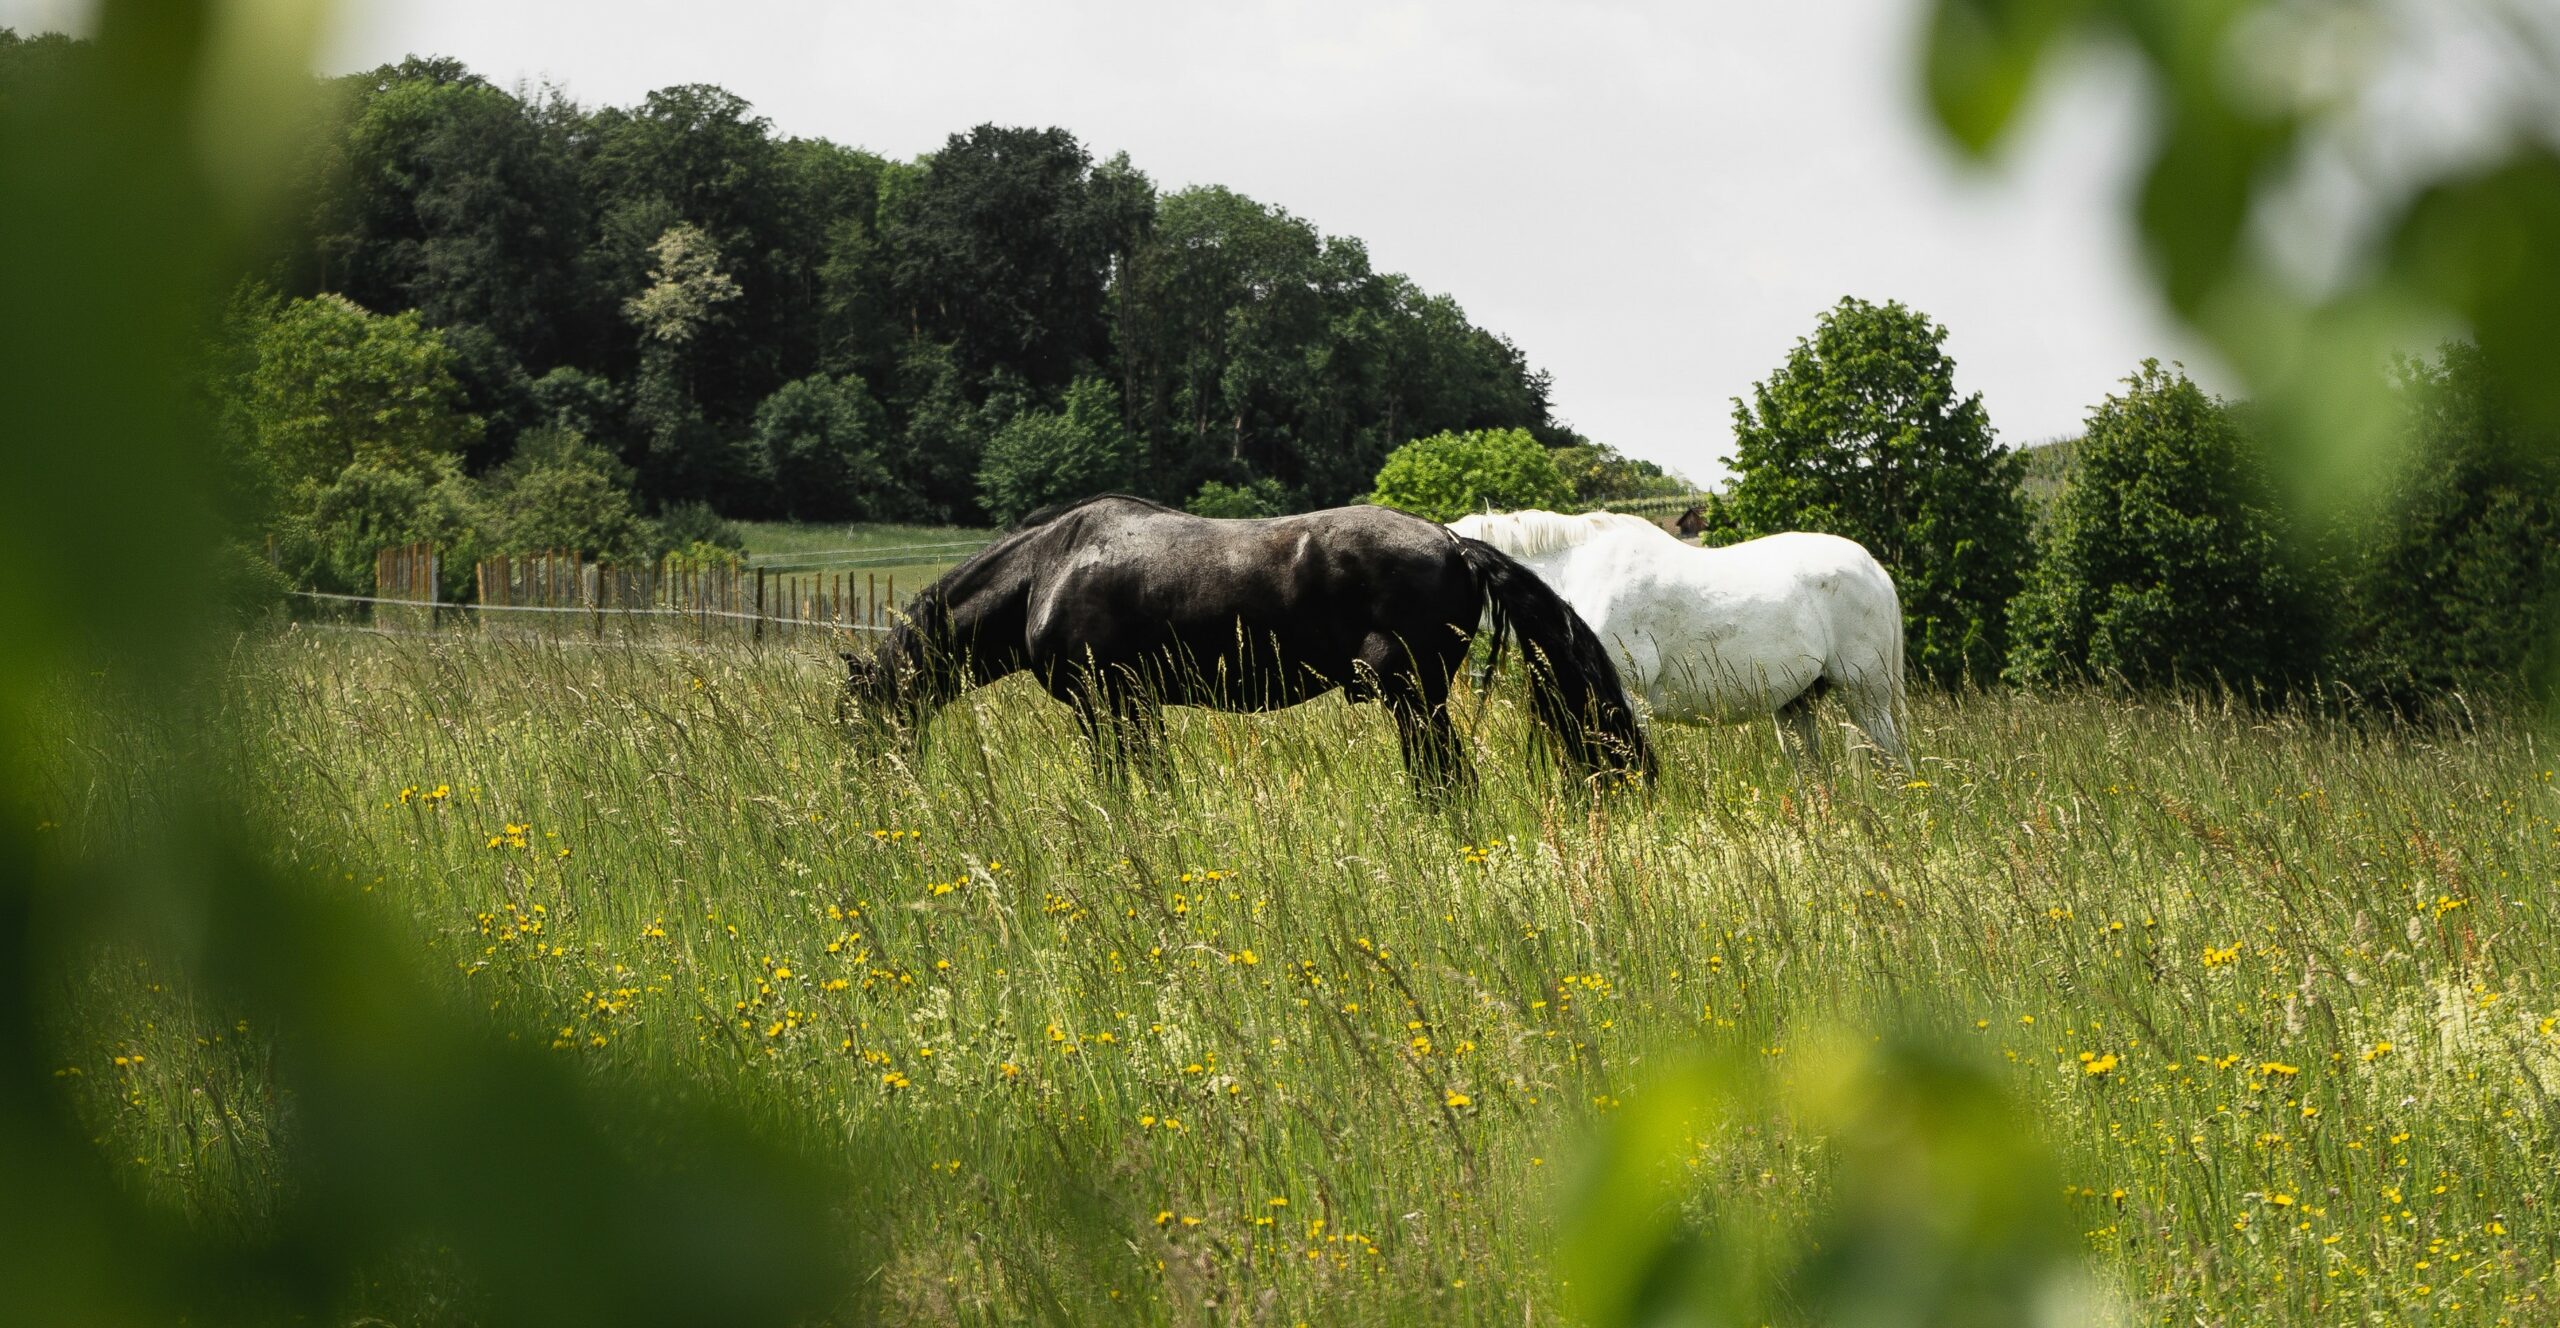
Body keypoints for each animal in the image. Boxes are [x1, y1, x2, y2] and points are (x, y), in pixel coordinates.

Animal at [839, 496, 1638, 788]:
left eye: (858, 723)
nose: (871, 791)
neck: (1048, 569)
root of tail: (1453, 542)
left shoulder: (1104, 704)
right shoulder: (1135, 708)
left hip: (1414, 698)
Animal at [1454, 514, 1914, 772]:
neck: (1576, 572)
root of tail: (1872, 567)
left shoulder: (1629, 702)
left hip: (1867, 696)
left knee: (1895, 761)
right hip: (1796, 704)